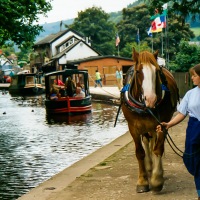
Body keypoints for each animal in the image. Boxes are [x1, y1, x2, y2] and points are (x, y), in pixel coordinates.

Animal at [120, 47, 180, 193]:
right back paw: (149, 167)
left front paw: (157, 180)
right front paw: (142, 181)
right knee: (147, 142)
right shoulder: (133, 128)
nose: (151, 99)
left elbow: (158, 148)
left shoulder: (162, 124)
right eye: (138, 71)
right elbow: (140, 152)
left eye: (157, 71)